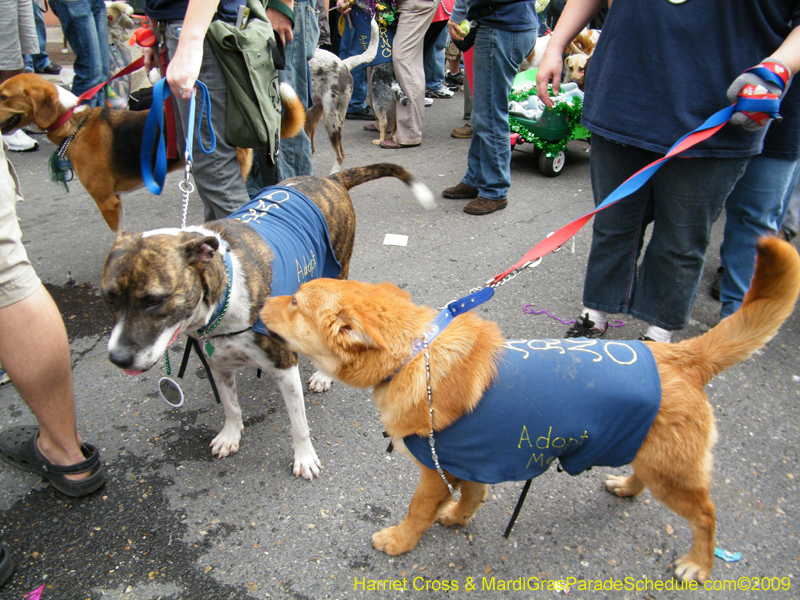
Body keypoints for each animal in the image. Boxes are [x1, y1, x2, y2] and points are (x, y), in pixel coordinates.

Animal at [258, 238, 800, 580]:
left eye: (296, 303)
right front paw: (456, 519)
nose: (261, 301)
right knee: (646, 480)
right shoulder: (469, 461)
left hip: (675, 476)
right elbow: (472, 497)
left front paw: (401, 540)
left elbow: (418, 512)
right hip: (653, 458)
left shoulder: (435, 470)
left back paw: (700, 563)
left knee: (706, 514)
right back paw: (626, 487)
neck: (416, 354)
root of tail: (682, 356)